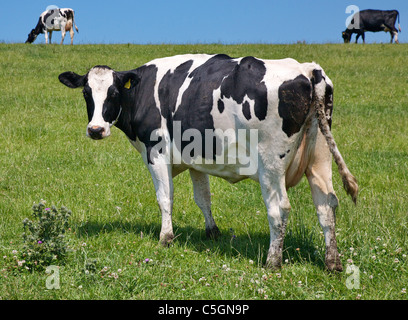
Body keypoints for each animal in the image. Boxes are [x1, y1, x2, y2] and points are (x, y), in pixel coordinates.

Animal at [59, 53, 358, 272]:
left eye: (113, 93)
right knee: (327, 205)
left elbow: (165, 198)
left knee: (279, 210)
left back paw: (272, 262)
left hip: (271, 165)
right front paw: (212, 232)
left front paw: (165, 238)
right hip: (320, 158)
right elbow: (203, 198)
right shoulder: (195, 161)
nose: (96, 129)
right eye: (86, 93)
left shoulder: (156, 152)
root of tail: (308, 69)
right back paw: (332, 262)